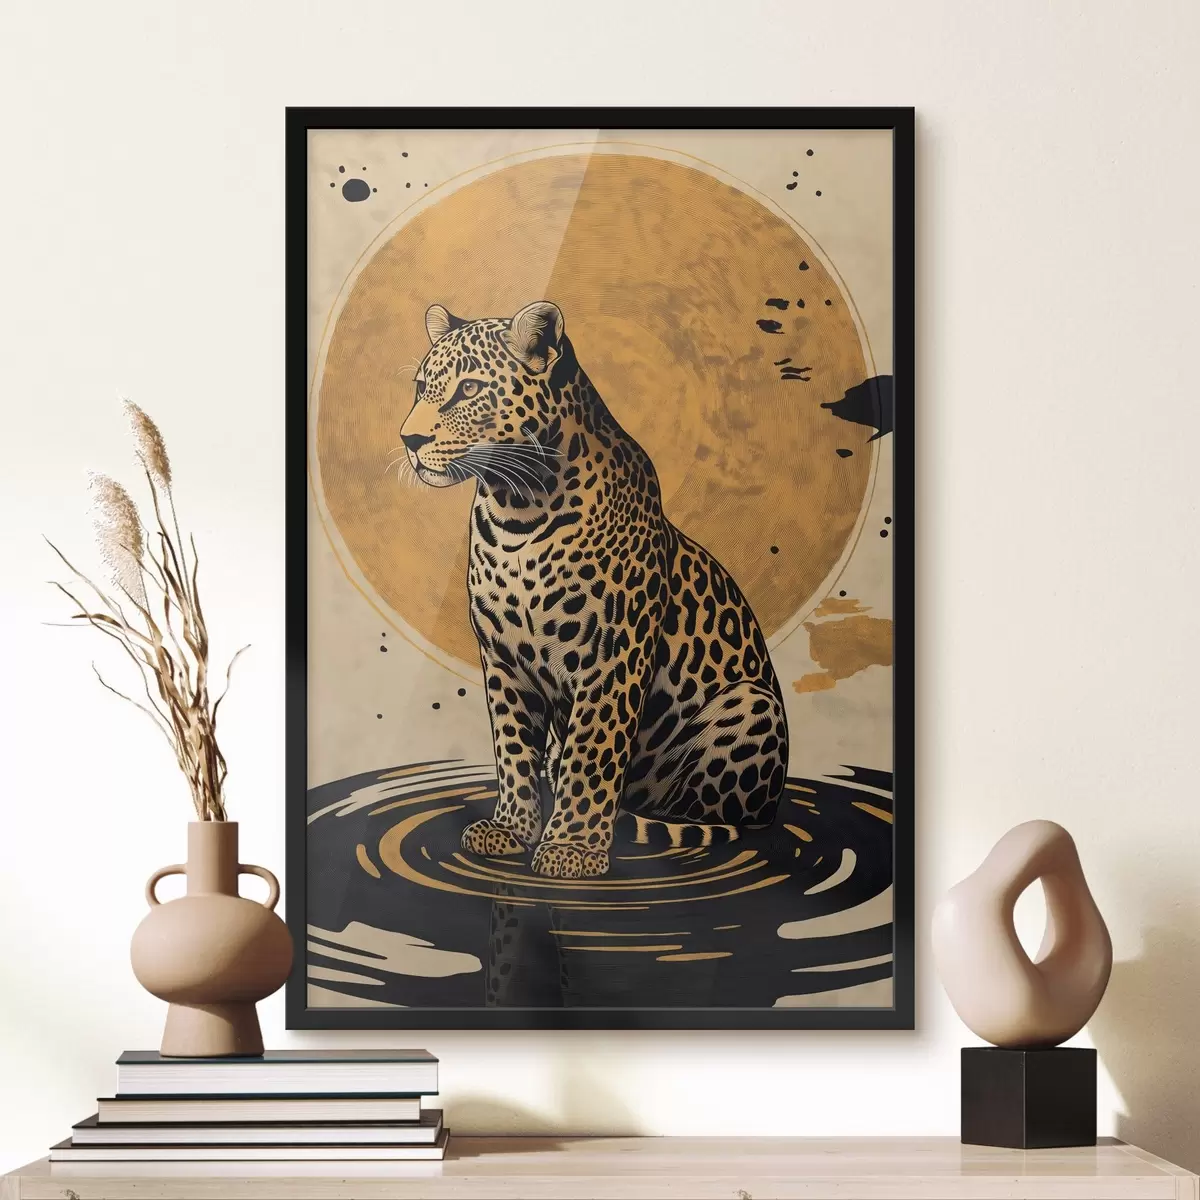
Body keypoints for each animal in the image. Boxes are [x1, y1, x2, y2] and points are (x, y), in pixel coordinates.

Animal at [399, 300, 789, 879]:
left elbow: (592, 753)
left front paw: (572, 848)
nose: (410, 440)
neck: (518, 509)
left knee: (702, 814)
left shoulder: (612, 657)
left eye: (468, 389)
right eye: (422, 388)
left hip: (750, 705)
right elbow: (513, 749)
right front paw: (513, 830)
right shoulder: (503, 659)